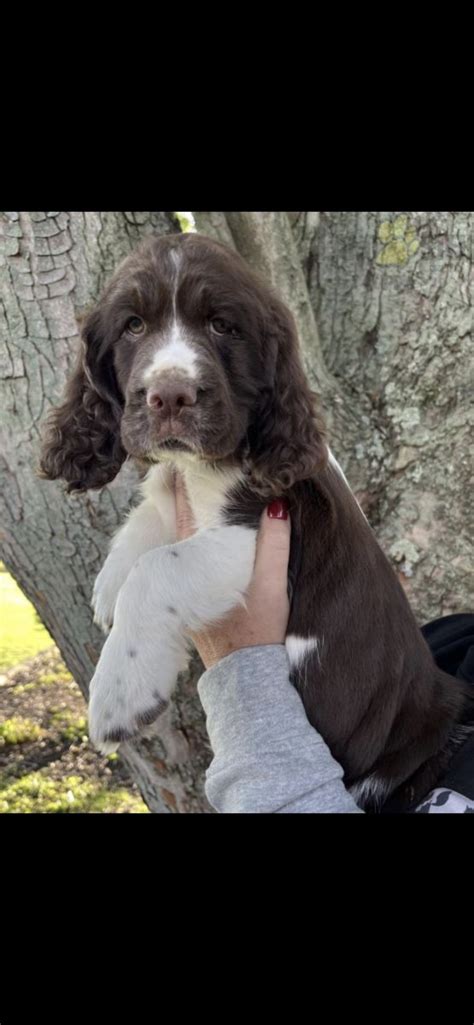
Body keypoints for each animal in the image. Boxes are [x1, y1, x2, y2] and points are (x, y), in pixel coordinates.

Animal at [37, 234, 474, 815]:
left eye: (223, 325)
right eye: (133, 325)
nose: (170, 396)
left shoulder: (255, 532)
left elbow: (158, 569)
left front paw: (119, 695)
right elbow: (153, 512)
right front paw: (109, 583)